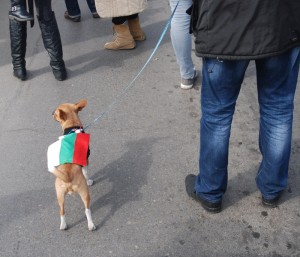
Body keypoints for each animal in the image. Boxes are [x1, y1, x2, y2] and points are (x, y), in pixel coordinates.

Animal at [47, 98, 95, 230]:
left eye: (55, 113)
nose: (51, 112)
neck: (72, 127)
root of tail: (67, 177)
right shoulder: (86, 161)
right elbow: (86, 172)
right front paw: (89, 180)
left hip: (59, 195)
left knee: (62, 211)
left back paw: (63, 225)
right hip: (84, 193)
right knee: (87, 210)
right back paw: (91, 225)